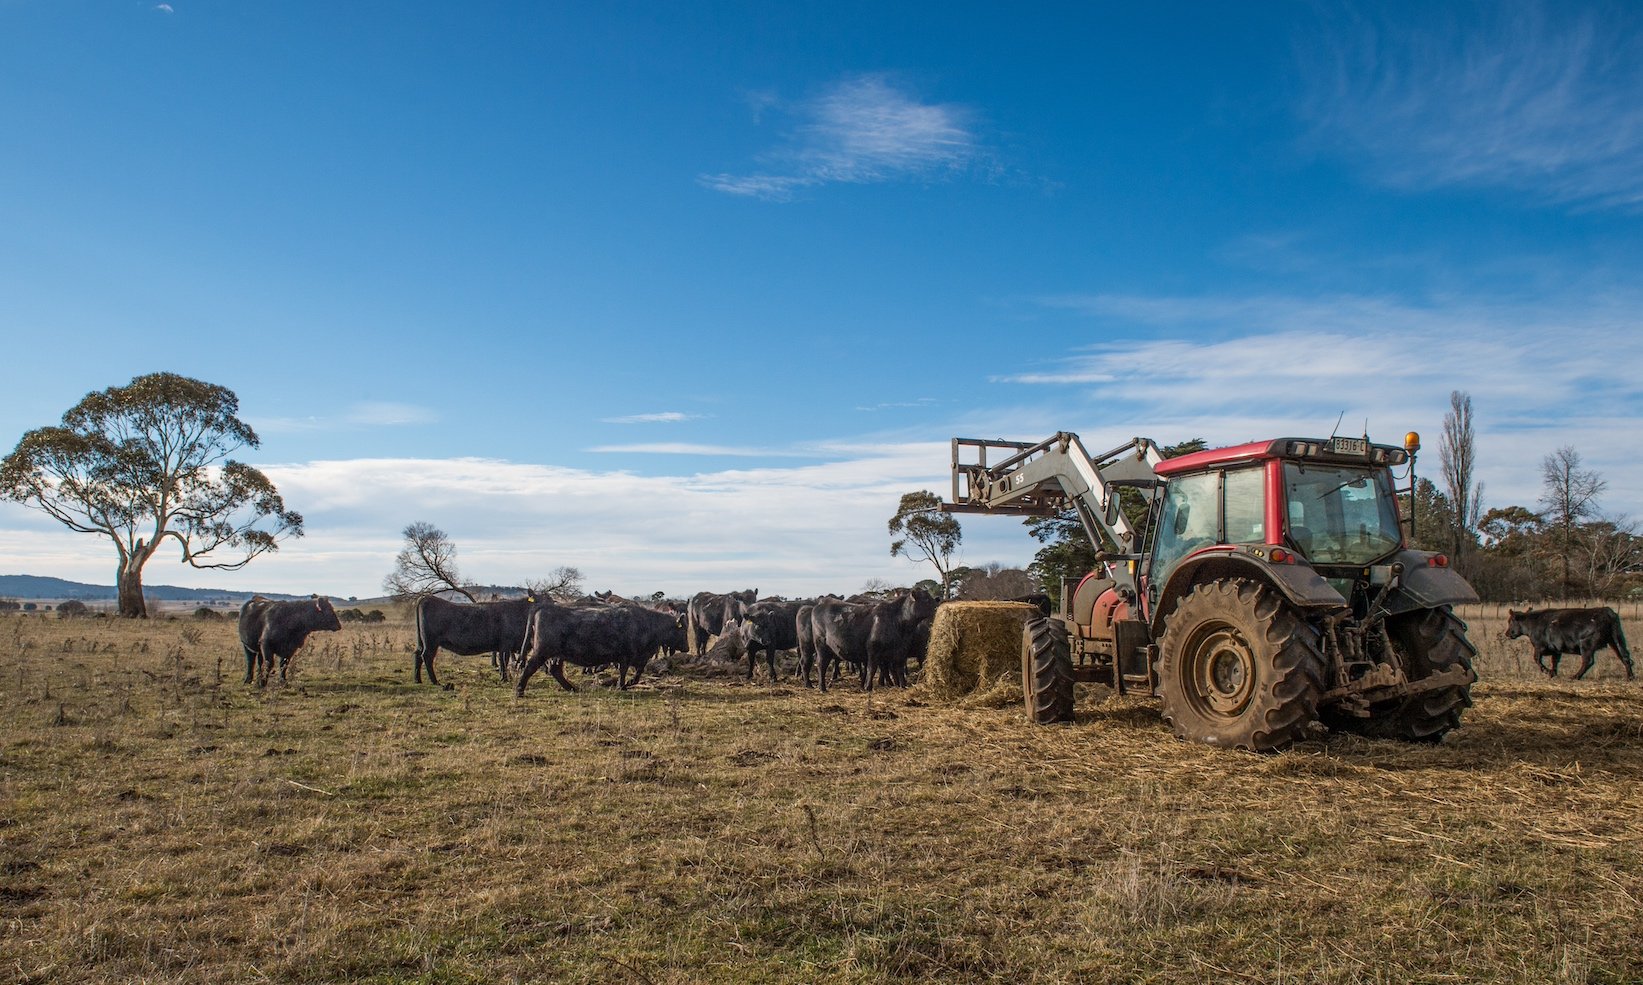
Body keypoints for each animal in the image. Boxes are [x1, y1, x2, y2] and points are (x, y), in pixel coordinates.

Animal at [509, 597, 683, 696]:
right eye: (681, 629)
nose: (686, 647)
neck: (646, 622)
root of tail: (544, 607)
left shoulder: (638, 657)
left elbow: (637, 673)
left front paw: (627, 683)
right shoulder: (626, 656)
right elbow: (624, 671)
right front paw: (622, 686)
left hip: (557, 655)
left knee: (555, 671)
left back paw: (571, 688)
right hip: (541, 652)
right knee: (530, 668)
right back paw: (520, 690)